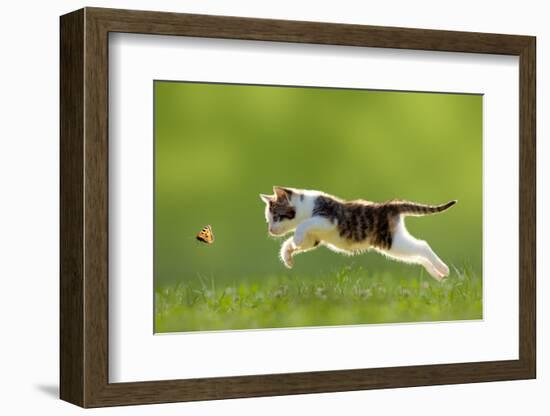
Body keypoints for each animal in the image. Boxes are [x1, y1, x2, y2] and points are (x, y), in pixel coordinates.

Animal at [260, 187, 460, 282]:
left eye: (276, 217)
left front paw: (296, 238)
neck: (305, 207)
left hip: (391, 241)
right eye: (268, 220)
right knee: (418, 256)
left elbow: (304, 225)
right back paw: (438, 275)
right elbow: (294, 242)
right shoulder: (314, 238)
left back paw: (443, 269)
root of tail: (390, 205)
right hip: (394, 246)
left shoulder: (328, 219)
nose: (270, 230)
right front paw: (288, 255)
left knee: (423, 246)